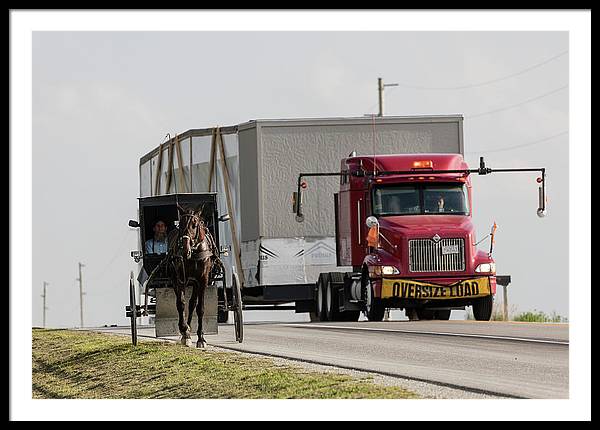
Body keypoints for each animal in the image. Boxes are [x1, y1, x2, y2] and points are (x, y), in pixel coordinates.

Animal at [166, 205, 218, 350]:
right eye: (181, 224)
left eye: (195, 225)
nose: (185, 250)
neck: (195, 251)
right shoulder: (181, 278)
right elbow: (180, 303)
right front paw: (185, 331)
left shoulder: (203, 280)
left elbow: (200, 308)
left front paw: (201, 338)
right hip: (175, 278)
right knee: (182, 301)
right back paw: (185, 330)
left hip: (195, 283)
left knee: (192, 303)